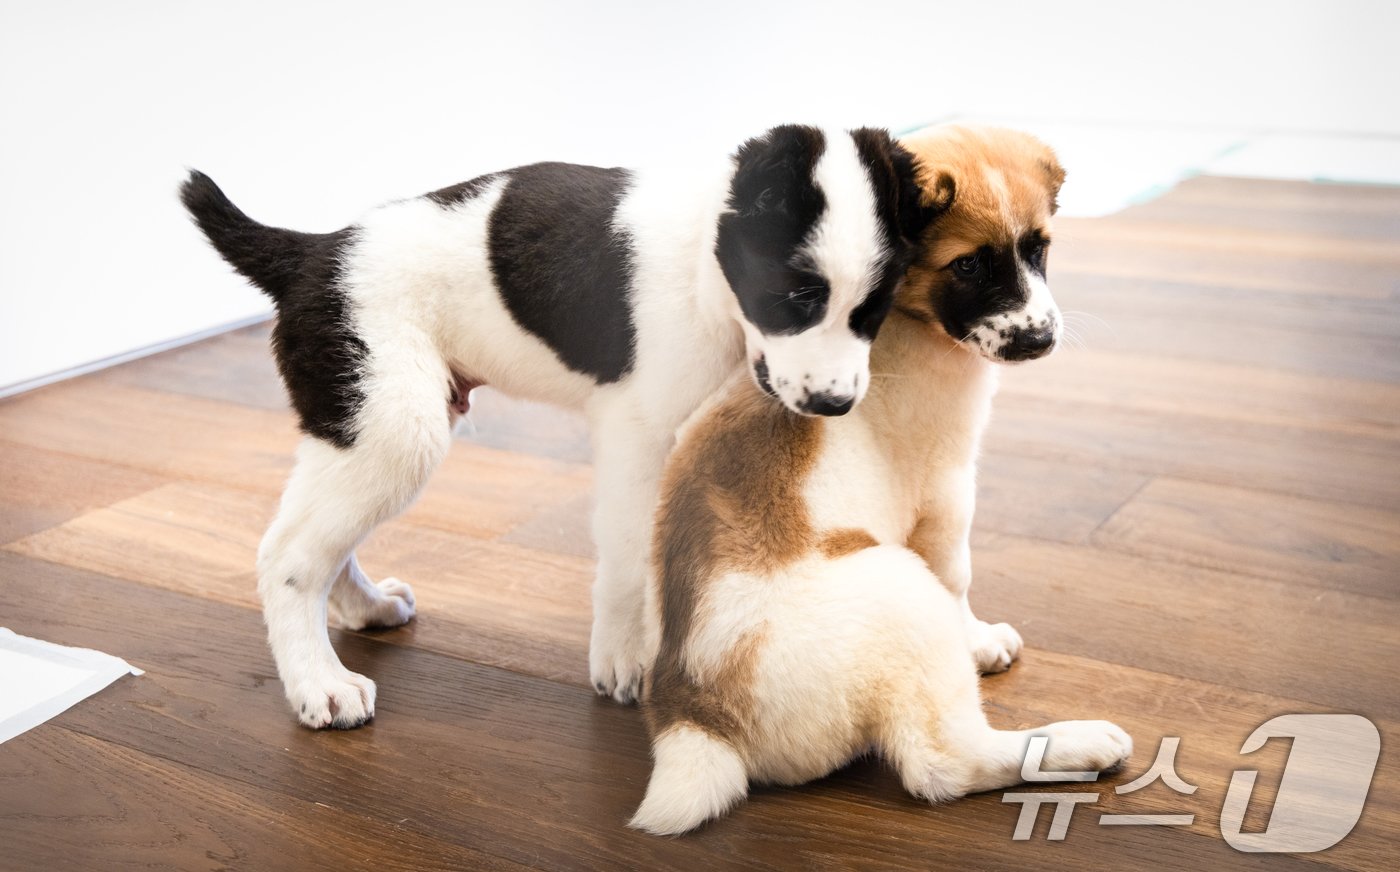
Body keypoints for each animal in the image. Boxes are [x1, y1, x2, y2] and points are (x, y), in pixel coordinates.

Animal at [180, 124, 935, 727]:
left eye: (873, 311)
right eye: (795, 298)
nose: (836, 404)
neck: (706, 262)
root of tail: (309, 254)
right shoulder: (636, 434)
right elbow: (627, 557)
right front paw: (625, 657)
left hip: (364, 429)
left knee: (323, 539)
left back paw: (361, 608)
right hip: (394, 427)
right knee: (288, 557)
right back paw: (319, 683)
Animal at [630, 125, 1131, 834]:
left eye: (1038, 249)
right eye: (968, 266)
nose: (1039, 339)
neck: (908, 322)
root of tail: (691, 716)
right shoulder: (947, 490)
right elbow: (958, 578)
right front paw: (978, 641)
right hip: (900, 591)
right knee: (943, 764)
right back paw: (1075, 744)